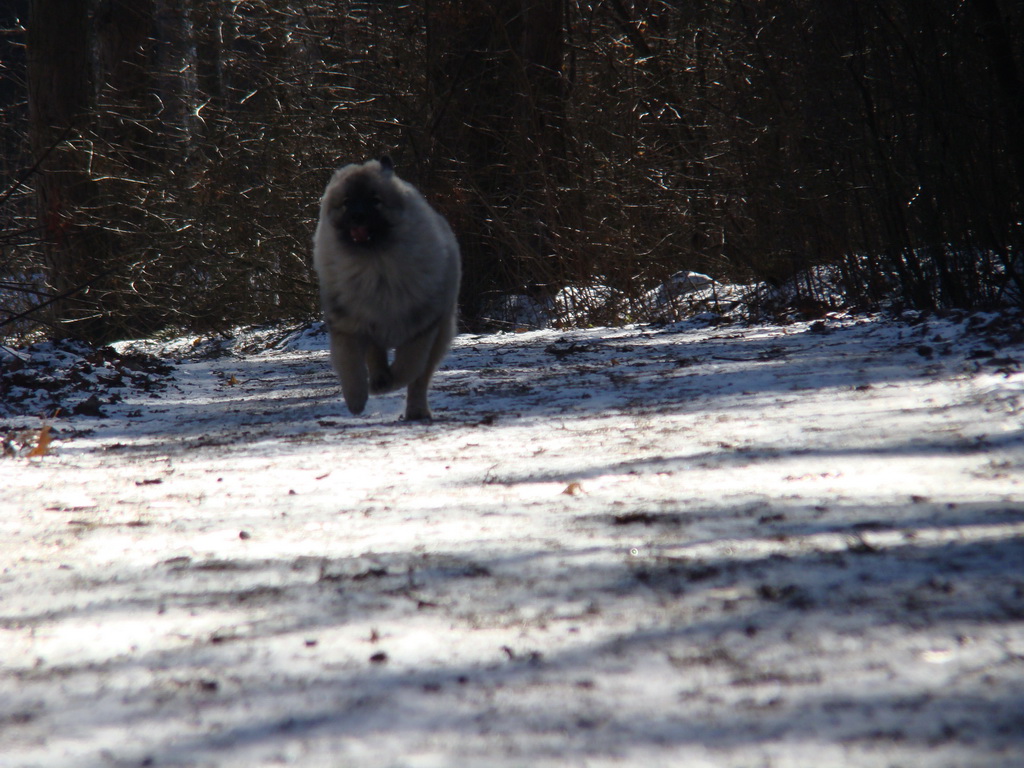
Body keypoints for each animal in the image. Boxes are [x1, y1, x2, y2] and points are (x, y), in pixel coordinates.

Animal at [309, 156, 458, 421]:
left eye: (375, 200)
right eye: (347, 203)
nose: (357, 216)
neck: (373, 266)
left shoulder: (421, 328)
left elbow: (408, 368)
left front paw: (390, 383)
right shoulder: (349, 326)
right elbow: (352, 367)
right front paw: (356, 400)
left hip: (439, 333)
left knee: (419, 379)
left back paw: (415, 409)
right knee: (375, 356)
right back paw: (378, 379)